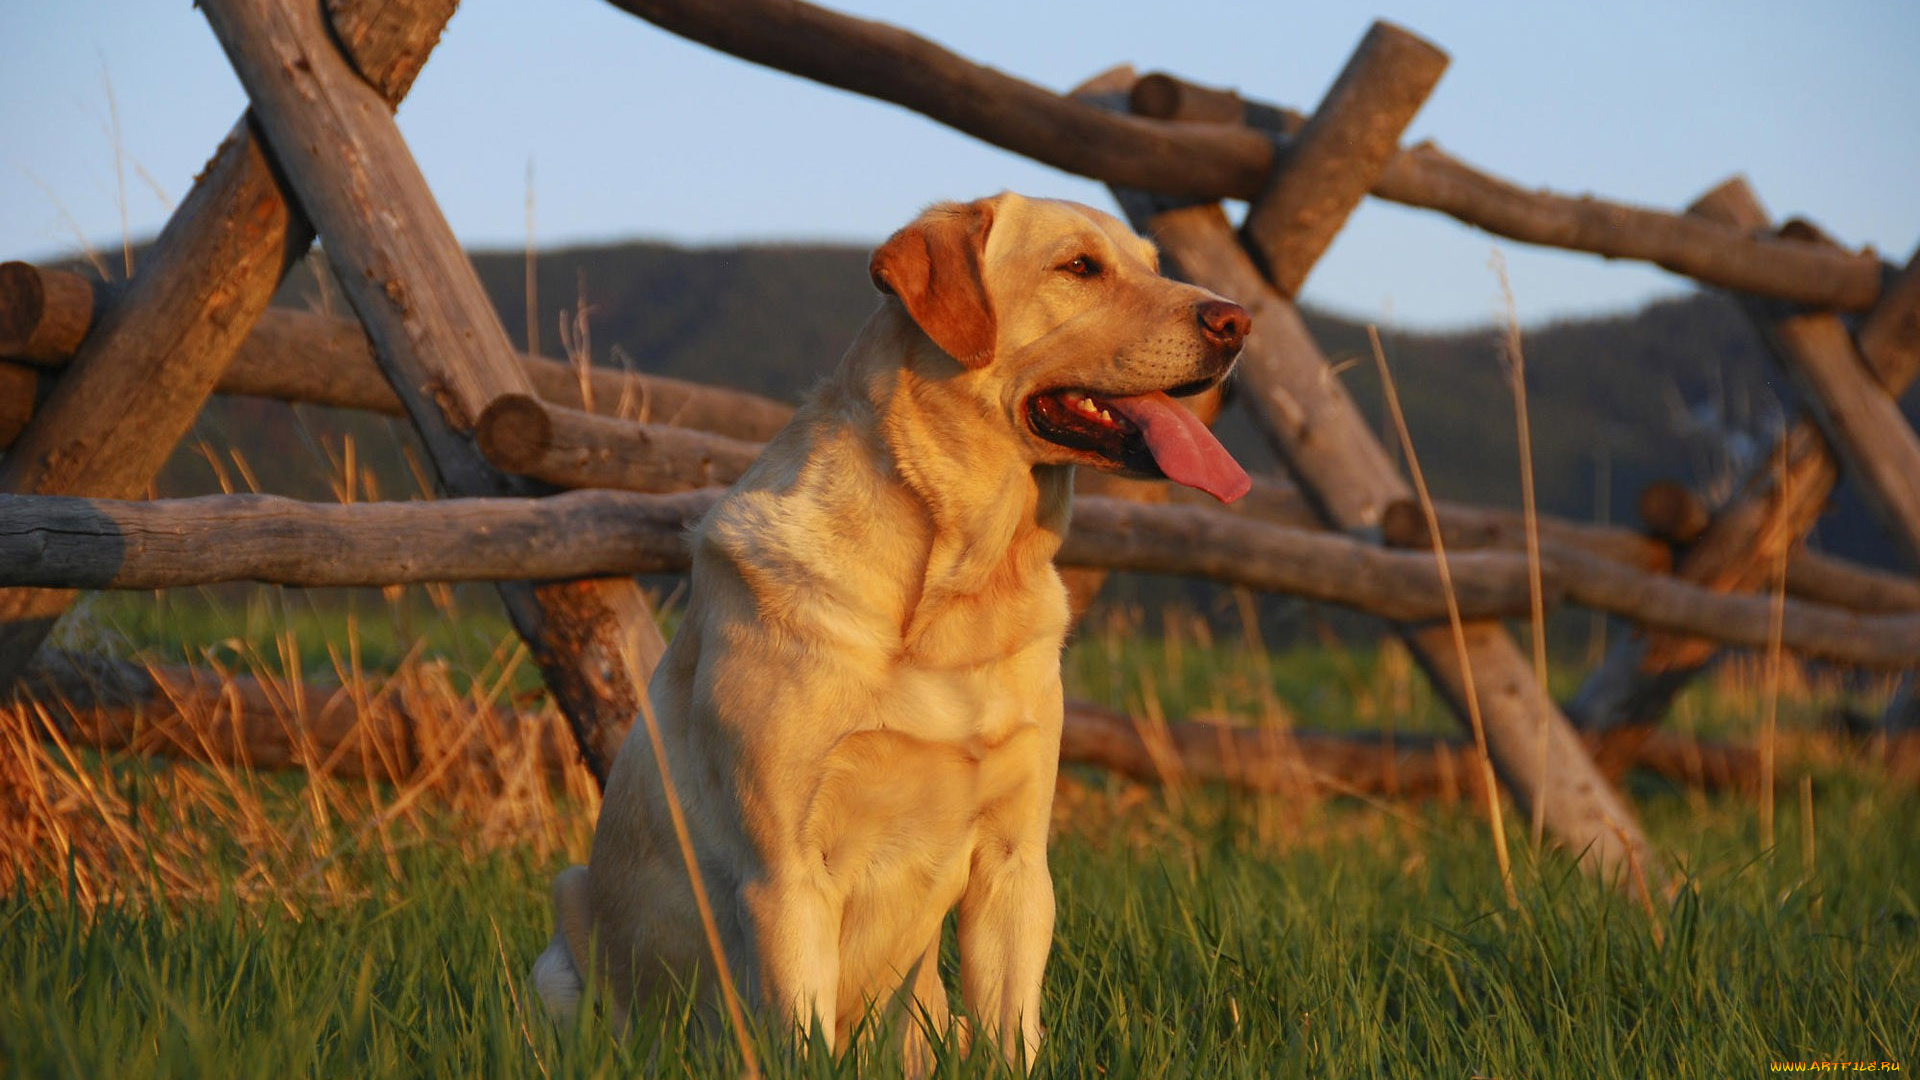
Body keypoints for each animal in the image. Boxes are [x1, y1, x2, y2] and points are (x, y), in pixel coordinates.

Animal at [541, 189, 1251, 1060]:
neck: (959, 586)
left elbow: (1014, 1037)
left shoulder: (1016, 863)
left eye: (1154, 264)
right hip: (563, 949)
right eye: (1080, 267)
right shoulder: (786, 874)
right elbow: (804, 1041)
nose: (1237, 321)